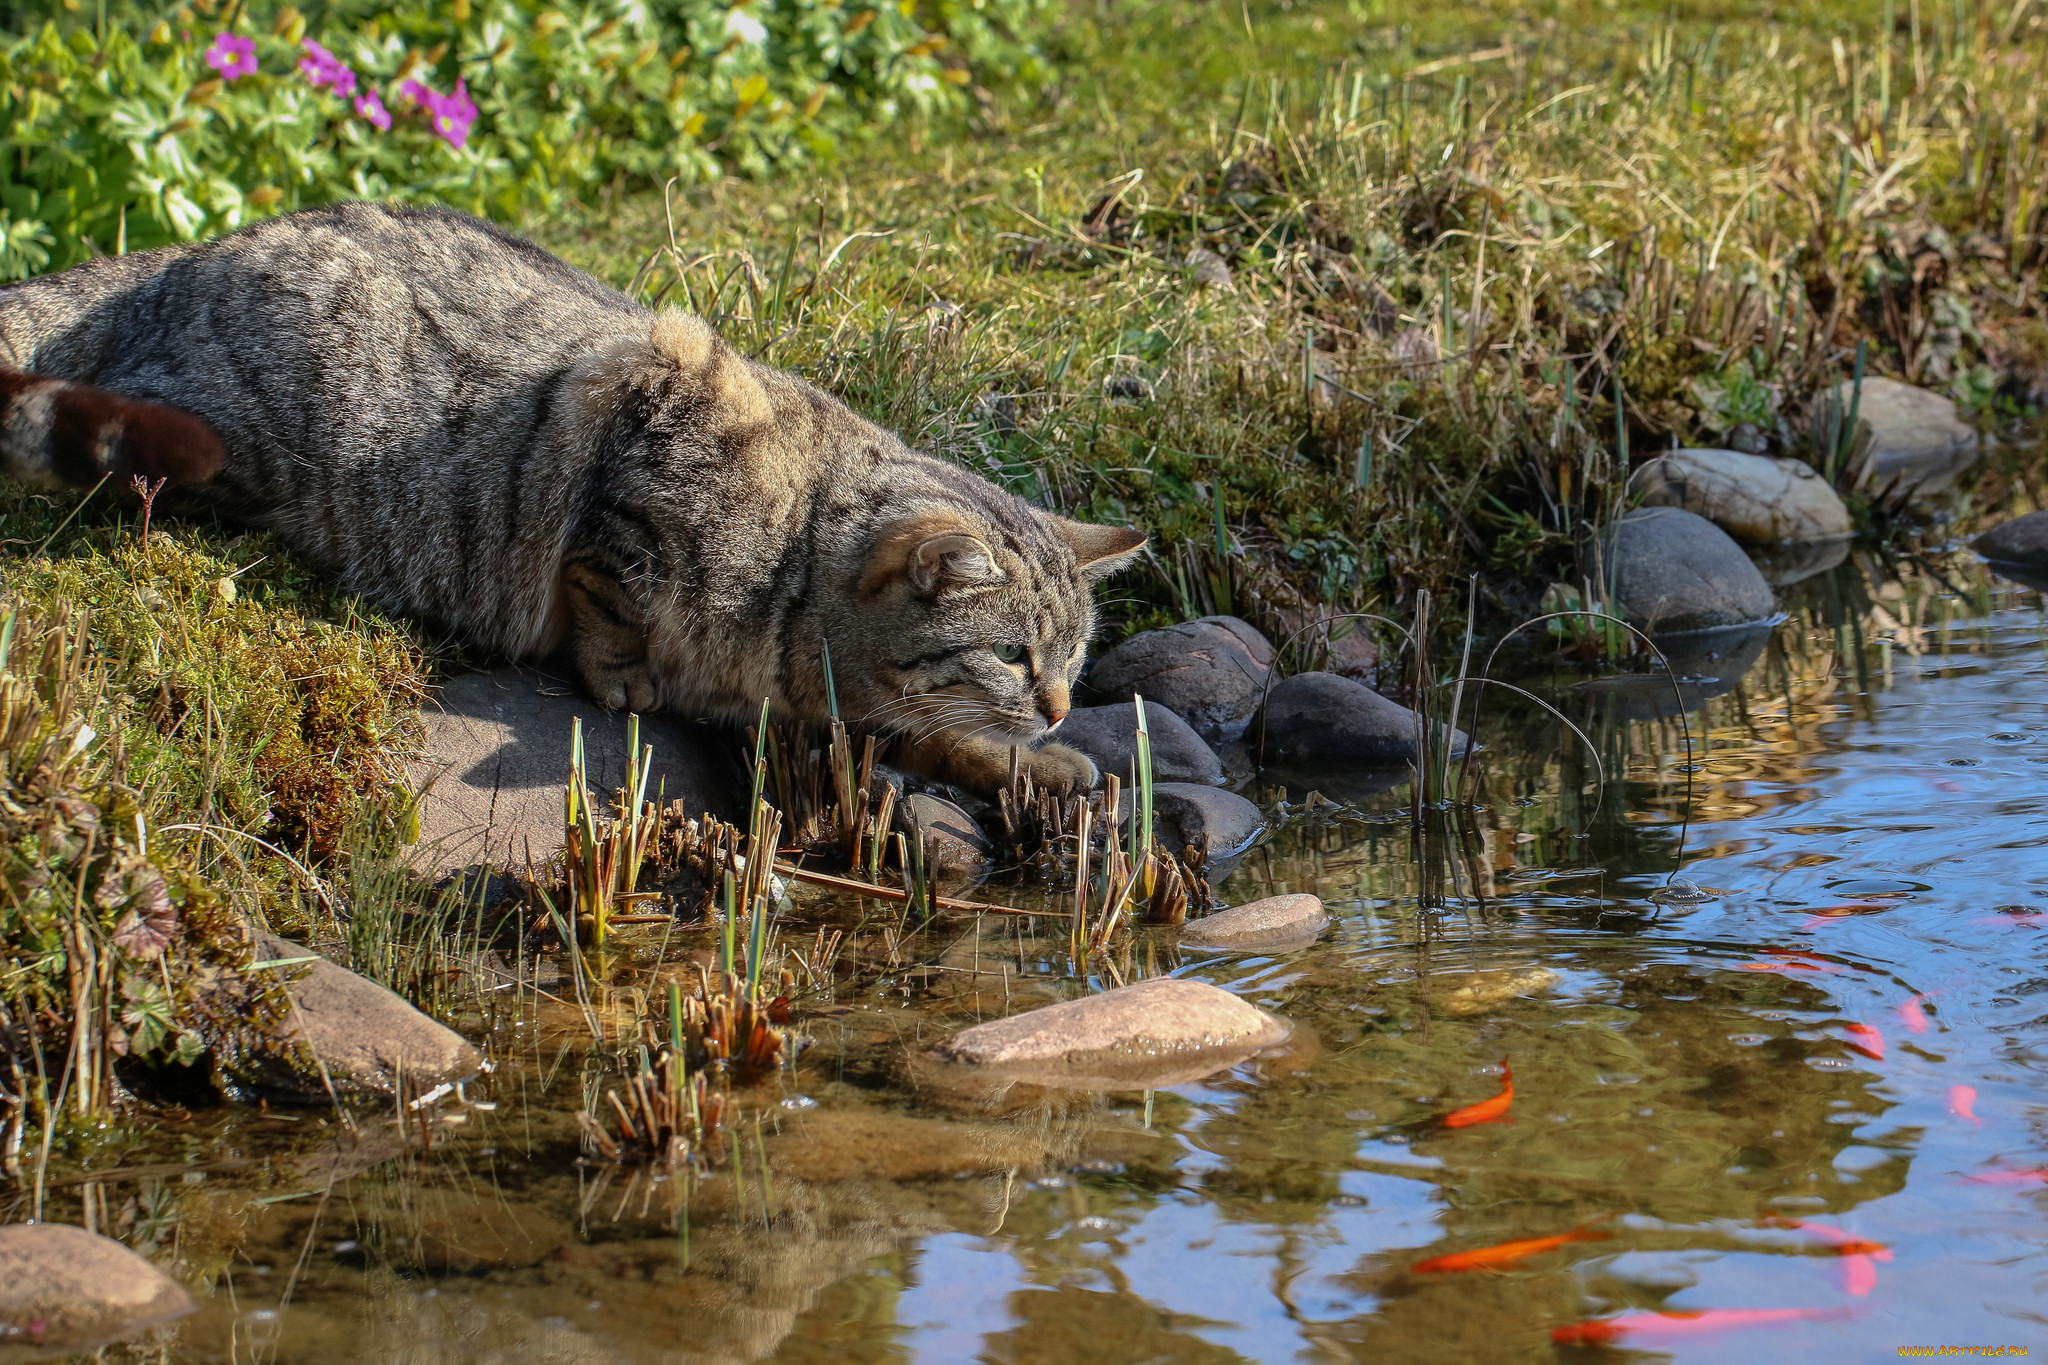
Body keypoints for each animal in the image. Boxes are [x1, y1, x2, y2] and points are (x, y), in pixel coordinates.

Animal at [0, 205, 1146, 802]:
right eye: (1012, 654)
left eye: (1074, 658)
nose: (1057, 705)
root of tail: (177, 258)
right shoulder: (636, 424)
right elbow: (608, 590)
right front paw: (629, 673)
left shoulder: (835, 713)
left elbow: (929, 736)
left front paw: (1038, 763)